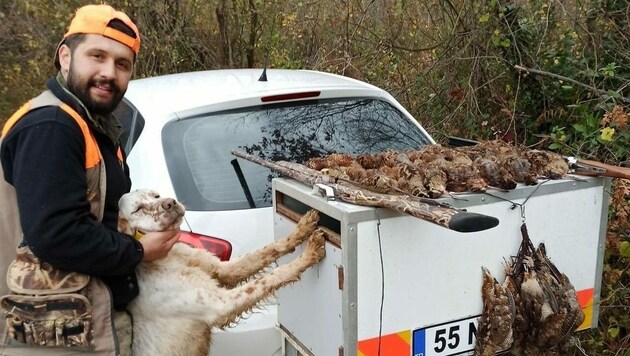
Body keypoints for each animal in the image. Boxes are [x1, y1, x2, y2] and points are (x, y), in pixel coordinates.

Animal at [117, 188, 330, 354]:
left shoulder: (222, 270)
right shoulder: (221, 304)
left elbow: (267, 251)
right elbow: (270, 277)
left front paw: (302, 229)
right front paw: (309, 253)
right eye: (138, 209)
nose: (170, 202)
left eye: (156, 195)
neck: (167, 256)